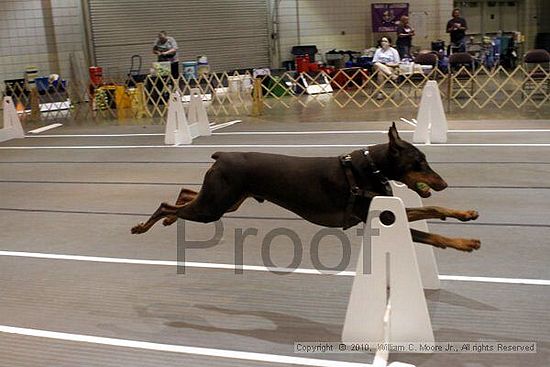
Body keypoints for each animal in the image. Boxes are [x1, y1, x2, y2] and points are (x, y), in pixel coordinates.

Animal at [134, 124, 484, 253]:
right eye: (419, 163)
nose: (444, 183)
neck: (370, 167)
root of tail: (221, 155)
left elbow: (434, 208)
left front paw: (465, 213)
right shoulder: (381, 217)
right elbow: (431, 233)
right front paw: (465, 242)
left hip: (225, 200)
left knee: (183, 195)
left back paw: (169, 219)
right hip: (214, 207)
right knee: (168, 204)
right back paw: (144, 225)